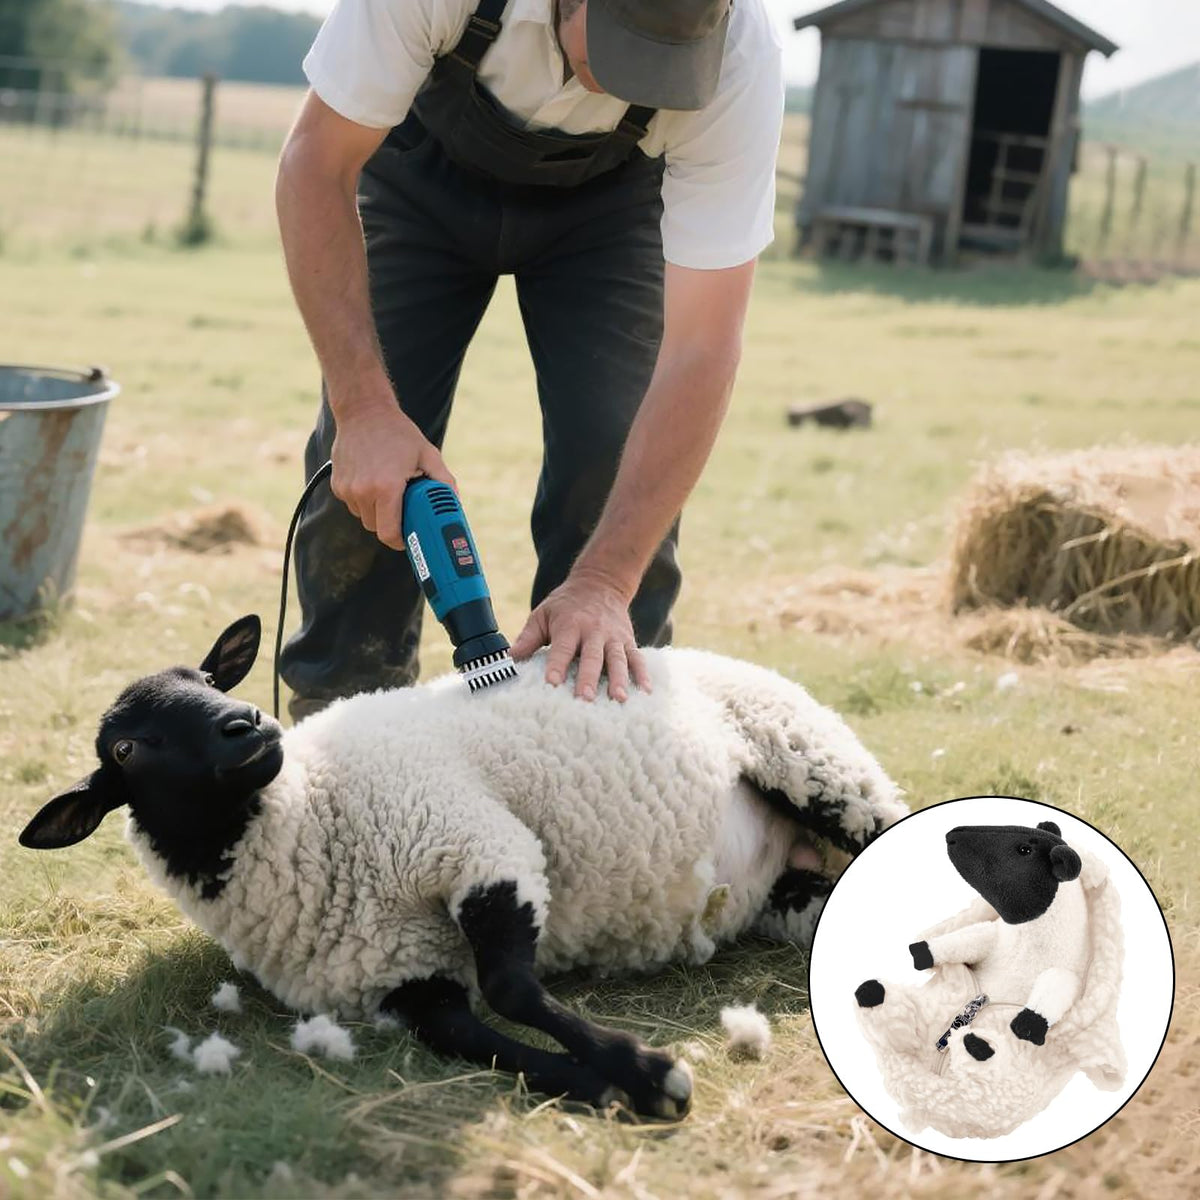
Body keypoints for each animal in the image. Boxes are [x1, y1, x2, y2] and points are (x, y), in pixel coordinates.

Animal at [20, 614, 905, 1120]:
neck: (305, 818)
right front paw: (595, 1084)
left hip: (819, 766)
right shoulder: (403, 979)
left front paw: (646, 1072)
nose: (247, 723)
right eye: (127, 748)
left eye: (207, 679)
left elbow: (512, 988)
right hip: (792, 891)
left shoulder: (475, 844)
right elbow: (466, 1034)